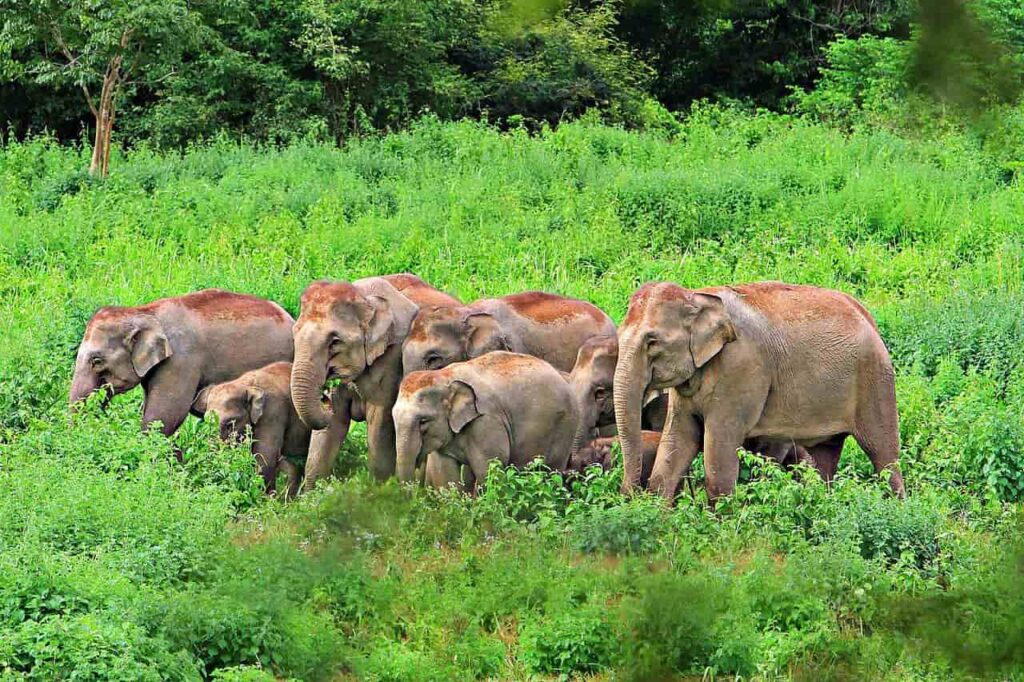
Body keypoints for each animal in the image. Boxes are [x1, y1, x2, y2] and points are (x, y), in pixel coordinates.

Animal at [193, 361, 308, 498]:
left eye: (230, 424)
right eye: (206, 421)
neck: (246, 385)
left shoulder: (273, 412)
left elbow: (265, 456)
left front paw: (266, 499)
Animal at [290, 273, 461, 487]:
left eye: (335, 341)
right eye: (294, 333)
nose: (324, 397)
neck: (364, 297)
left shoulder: (391, 359)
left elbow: (379, 423)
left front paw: (379, 490)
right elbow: (330, 431)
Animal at [393, 352, 587, 491]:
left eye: (423, 421)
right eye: (393, 418)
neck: (444, 376)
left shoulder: (487, 423)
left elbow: (488, 471)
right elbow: (447, 476)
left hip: (566, 426)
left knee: (550, 472)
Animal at [614, 281, 905, 503]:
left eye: (652, 342)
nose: (628, 495)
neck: (696, 294)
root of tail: (867, 316)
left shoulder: (740, 369)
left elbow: (719, 452)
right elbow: (678, 439)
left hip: (875, 379)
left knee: (884, 454)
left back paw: (897, 507)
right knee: (825, 456)